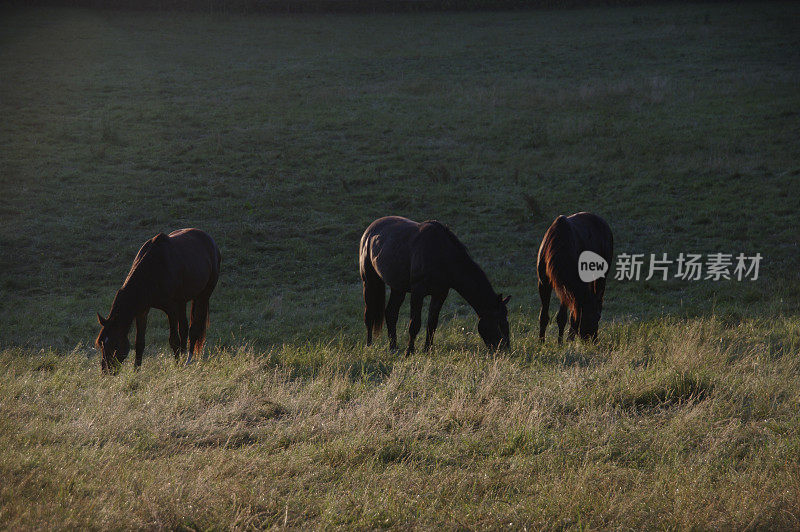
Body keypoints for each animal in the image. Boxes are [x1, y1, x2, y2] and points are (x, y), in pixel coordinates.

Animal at [97, 229, 222, 374]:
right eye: (101, 344)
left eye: (114, 344)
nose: (106, 371)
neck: (154, 270)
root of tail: (211, 241)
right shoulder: (142, 311)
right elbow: (140, 343)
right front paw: (136, 372)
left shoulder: (171, 309)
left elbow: (174, 340)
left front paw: (176, 367)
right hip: (183, 301)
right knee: (184, 329)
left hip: (203, 295)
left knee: (194, 330)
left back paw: (187, 361)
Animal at [360, 214, 510, 356]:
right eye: (498, 321)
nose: (505, 350)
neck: (441, 254)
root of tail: (369, 231)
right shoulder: (418, 292)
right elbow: (415, 324)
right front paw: (410, 352)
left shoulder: (440, 294)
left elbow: (432, 323)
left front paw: (427, 350)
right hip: (369, 282)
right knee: (369, 315)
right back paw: (369, 346)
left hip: (398, 288)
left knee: (391, 313)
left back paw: (393, 348)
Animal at [536, 210, 612, 342]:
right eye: (595, 317)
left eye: (598, 317)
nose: (593, 340)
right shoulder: (544, 283)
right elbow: (544, 316)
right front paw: (541, 342)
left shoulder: (565, 285)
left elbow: (562, 317)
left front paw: (561, 343)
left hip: (602, 277)